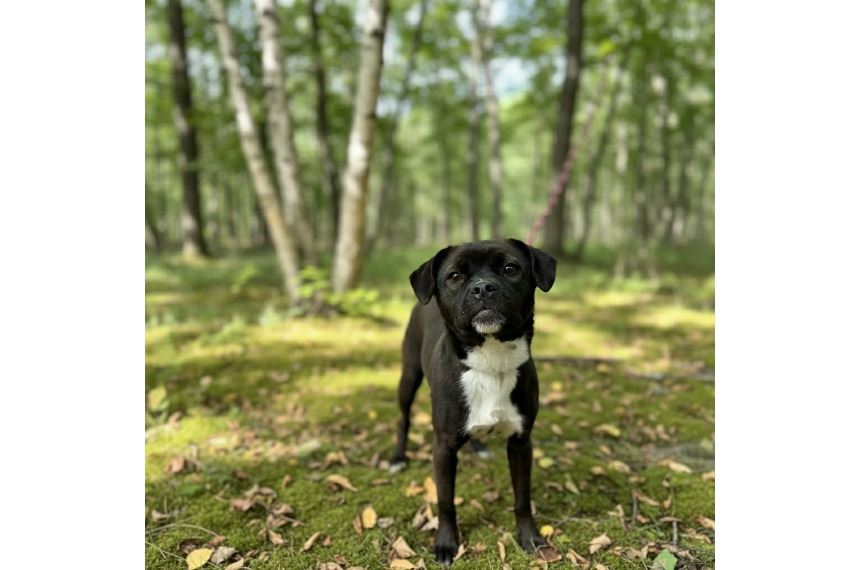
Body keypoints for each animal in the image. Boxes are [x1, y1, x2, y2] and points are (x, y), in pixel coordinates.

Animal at [390, 238, 557, 565]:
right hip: (409, 376)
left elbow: (522, 498)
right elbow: (445, 502)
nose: (483, 288)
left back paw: (477, 446)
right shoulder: (443, 448)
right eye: (454, 276)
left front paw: (529, 538)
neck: (491, 363)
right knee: (403, 418)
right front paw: (446, 545)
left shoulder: (521, 442)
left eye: (510, 268)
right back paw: (398, 457)